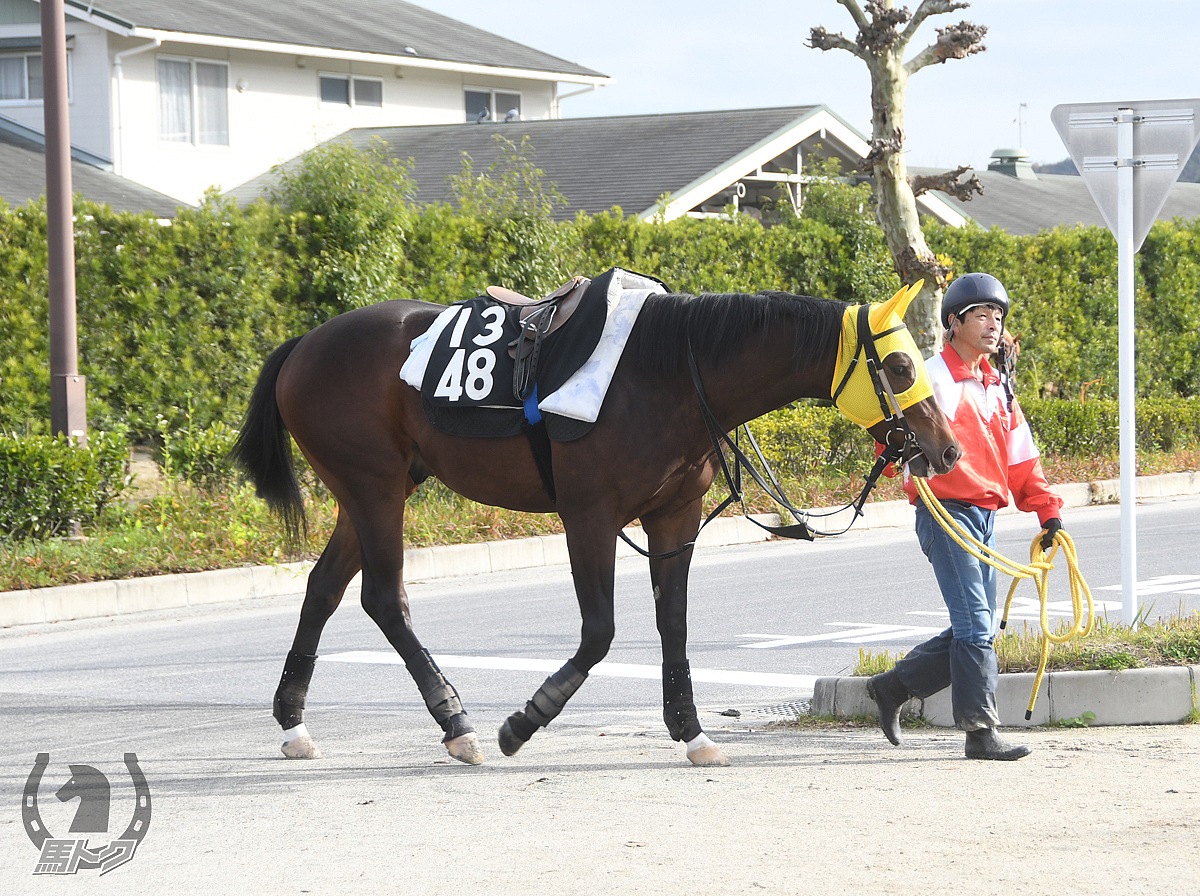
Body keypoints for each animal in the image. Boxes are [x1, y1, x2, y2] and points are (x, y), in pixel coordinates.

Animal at [234, 273, 960, 762]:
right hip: (374, 488)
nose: (947, 449)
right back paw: (457, 722)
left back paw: (293, 721)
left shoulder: (674, 516)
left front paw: (692, 730)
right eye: (901, 364)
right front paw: (523, 721)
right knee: (384, 598)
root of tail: (304, 345)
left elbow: (674, 625)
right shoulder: (588, 514)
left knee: (324, 588)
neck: (669, 370)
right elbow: (600, 632)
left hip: (371, 490)